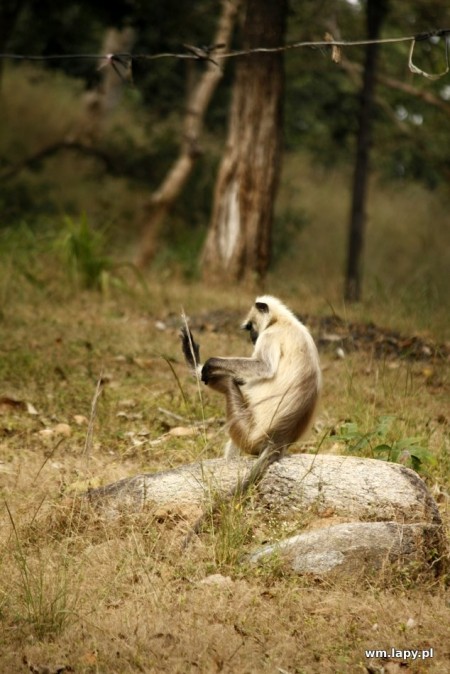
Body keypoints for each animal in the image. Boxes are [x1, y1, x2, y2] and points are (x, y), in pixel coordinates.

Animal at [181, 294, 322, 536]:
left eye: (250, 327)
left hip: (247, 427)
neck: (283, 321)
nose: (252, 337)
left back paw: (198, 367)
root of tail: (279, 439)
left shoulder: (270, 336)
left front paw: (210, 363)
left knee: (231, 381)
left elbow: (262, 367)